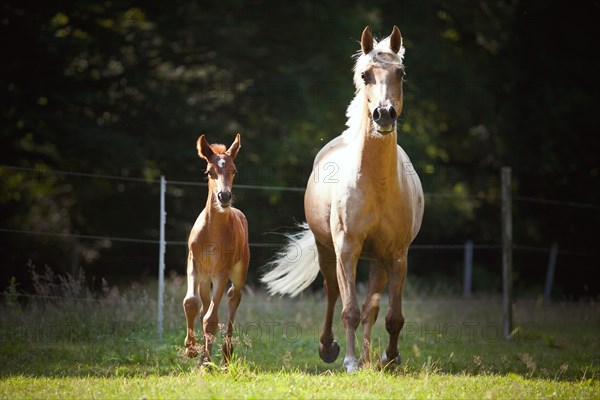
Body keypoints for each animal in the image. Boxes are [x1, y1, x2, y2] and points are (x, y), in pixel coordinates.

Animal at [183, 134, 248, 366]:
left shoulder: (222, 271)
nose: (224, 196)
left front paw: (206, 361)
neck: (212, 233)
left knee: (233, 297)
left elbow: (211, 319)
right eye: (209, 171)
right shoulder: (193, 264)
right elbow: (191, 303)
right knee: (205, 304)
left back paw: (226, 354)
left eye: (234, 170)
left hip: (238, 272)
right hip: (205, 279)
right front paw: (192, 350)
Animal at [262, 26, 422, 374]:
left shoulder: (397, 255)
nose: (384, 114)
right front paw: (348, 361)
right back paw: (330, 348)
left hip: (378, 260)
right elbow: (348, 308)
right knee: (333, 293)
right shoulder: (347, 249)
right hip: (327, 250)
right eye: (365, 74)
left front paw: (389, 358)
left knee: (371, 307)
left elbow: (392, 316)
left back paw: (367, 358)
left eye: (401, 73)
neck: (377, 184)